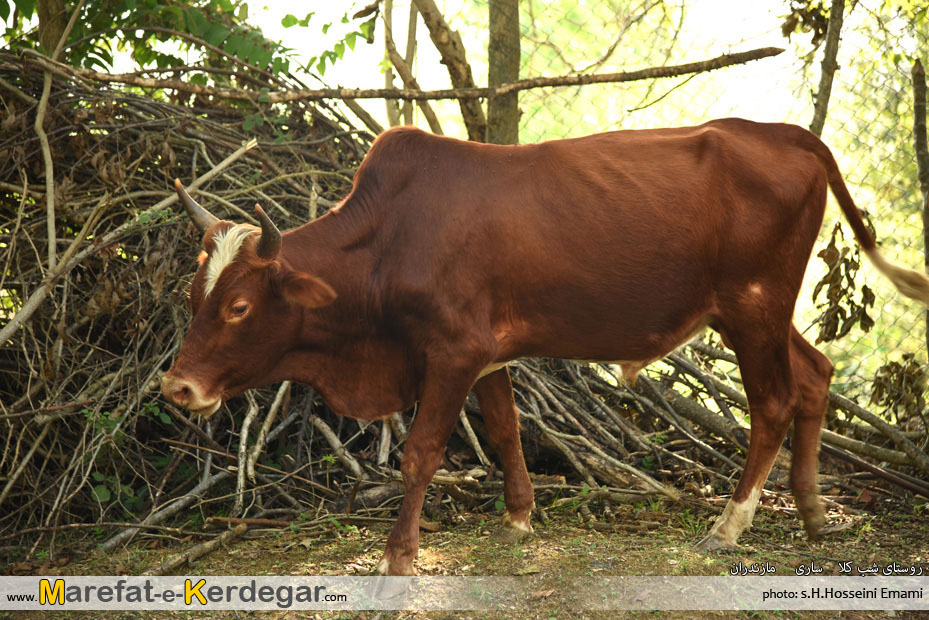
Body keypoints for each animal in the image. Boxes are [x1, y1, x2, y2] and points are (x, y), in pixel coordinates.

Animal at [161, 118, 928, 572]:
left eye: (237, 306)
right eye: (192, 298)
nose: (177, 387)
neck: (389, 239)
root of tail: (785, 132)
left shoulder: (451, 352)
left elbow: (420, 453)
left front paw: (399, 554)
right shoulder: (484, 355)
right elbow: (504, 429)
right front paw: (519, 519)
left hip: (750, 307)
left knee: (771, 402)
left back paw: (729, 525)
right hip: (759, 312)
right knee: (816, 375)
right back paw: (813, 514)